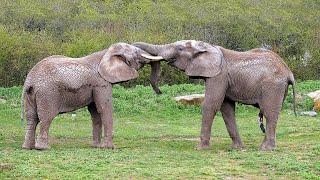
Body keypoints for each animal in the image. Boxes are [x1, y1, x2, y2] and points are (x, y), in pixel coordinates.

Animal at [20, 43, 162, 150]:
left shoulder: (95, 86)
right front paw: (109, 148)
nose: (160, 92)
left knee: (31, 118)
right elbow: (104, 108)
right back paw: (43, 148)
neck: (105, 53)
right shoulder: (101, 83)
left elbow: (95, 112)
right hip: (47, 93)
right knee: (46, 117)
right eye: (136, 52)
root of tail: (29, 81)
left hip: (31, 95)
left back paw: (27, 147)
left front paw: (96, 146)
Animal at [132, 40, 296, 150]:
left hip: (272, 86)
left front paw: (200, 148)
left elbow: (211, 105)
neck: (208, 46)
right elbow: (226, 109)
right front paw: (237, 148)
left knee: (270, 113)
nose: (160, 91)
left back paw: (265, 149)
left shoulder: (219, 75)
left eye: (179, 48)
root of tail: (289, 72)